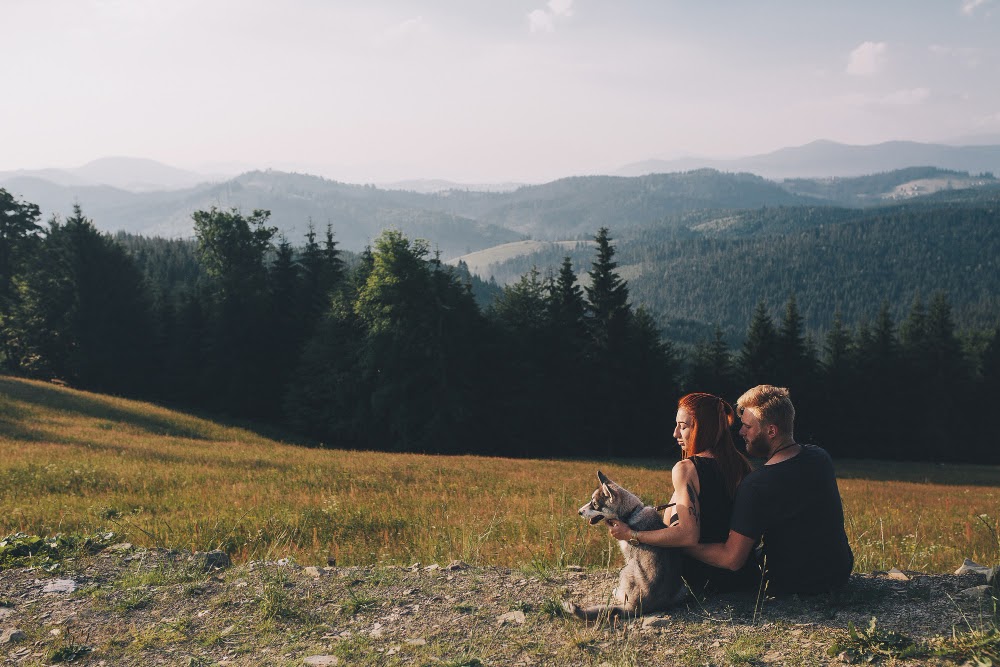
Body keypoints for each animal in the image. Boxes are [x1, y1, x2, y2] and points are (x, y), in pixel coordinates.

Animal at [564, 470, 688, 620]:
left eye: (594, 504)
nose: (579, 512)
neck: (630, 513)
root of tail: (639, 608)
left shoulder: (628, 556)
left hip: (626, 569)